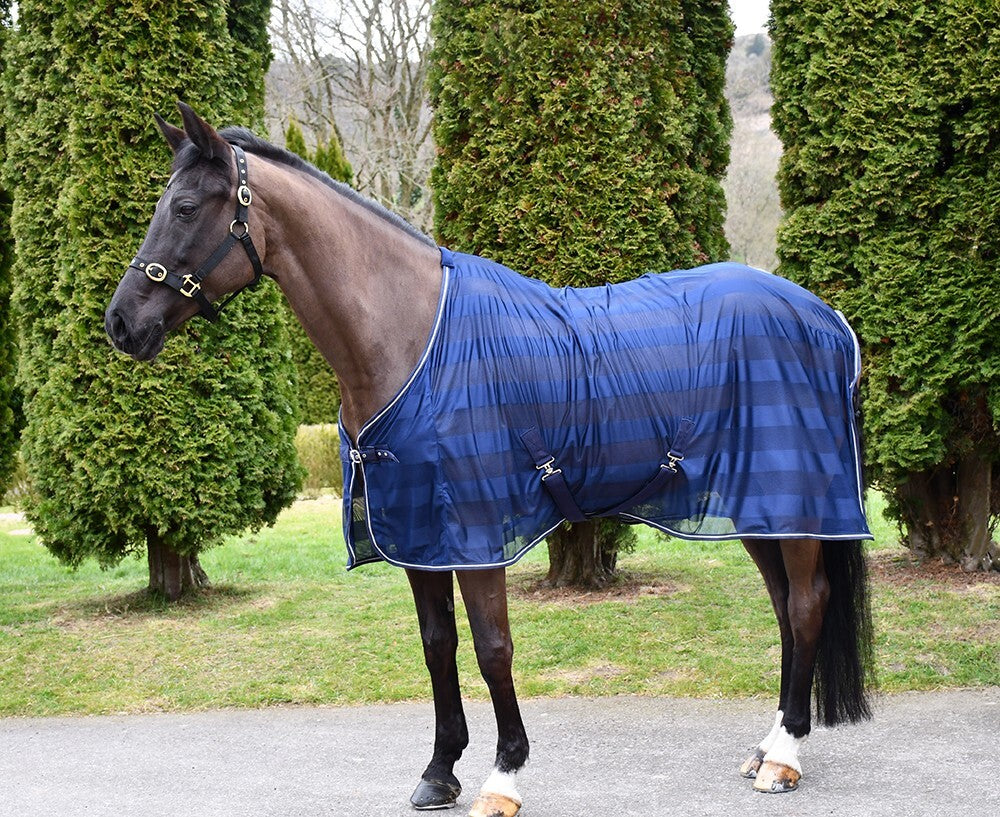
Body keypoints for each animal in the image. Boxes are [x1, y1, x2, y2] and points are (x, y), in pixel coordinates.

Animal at [106, 104, 875, 815]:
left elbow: (491, 647)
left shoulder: (474, 535)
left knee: (806, 603)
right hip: (761, 507)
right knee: (784, 607)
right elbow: (437, 644)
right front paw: (439, 771)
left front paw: (503, 777)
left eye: (183, 207)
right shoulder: (419, 533)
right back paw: (765, 747)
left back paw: (784, 758)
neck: (409, 335)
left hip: (798, 502)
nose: (121, 323)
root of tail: (825, 318)